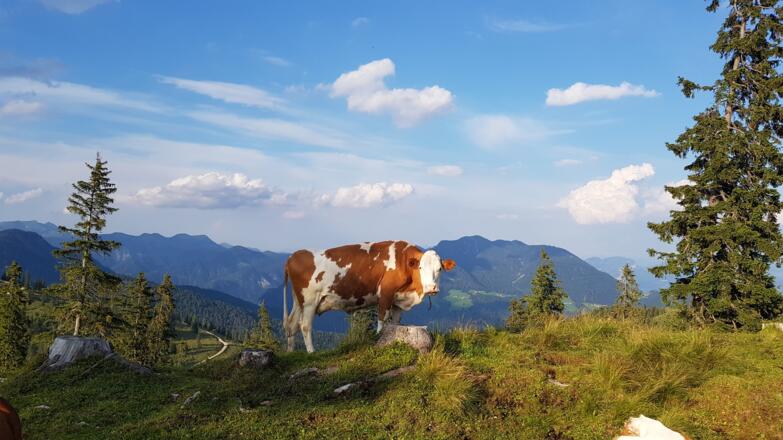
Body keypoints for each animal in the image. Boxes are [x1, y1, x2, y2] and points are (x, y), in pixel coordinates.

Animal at [282, 240, 456, 352]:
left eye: (440, 268)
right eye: (420, 267)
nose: (432, 288)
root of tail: (292, 256)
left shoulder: (398, 300)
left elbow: (395, 323)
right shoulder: (385, 293)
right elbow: (382, 321)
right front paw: (378, 338)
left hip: (299, 300)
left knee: (292, 324)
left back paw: (290, 353)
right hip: (309, 300)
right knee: (305, 325)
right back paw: (311, 352)